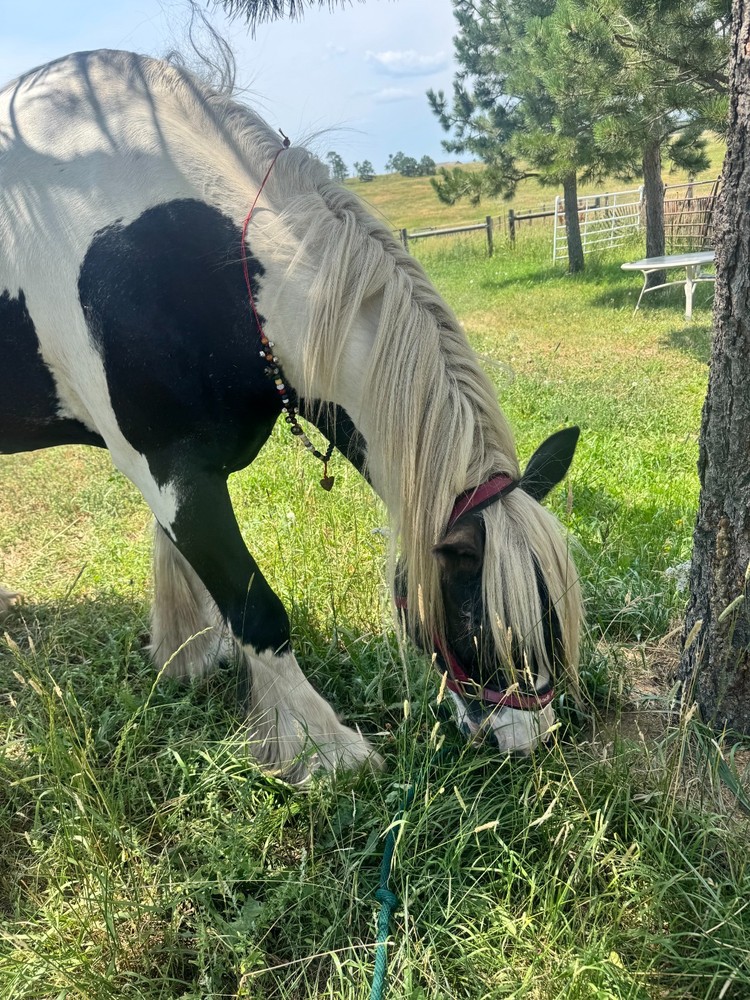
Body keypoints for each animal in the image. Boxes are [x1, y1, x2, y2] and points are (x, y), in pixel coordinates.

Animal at [0, 50, 583, 780]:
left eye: (555, 615)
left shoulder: (178, 471)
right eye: (479, 623)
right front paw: (320, 747)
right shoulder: (169, 470)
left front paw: (187, 655)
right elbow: (256, 609)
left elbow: (183, 565)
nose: (530, 740)